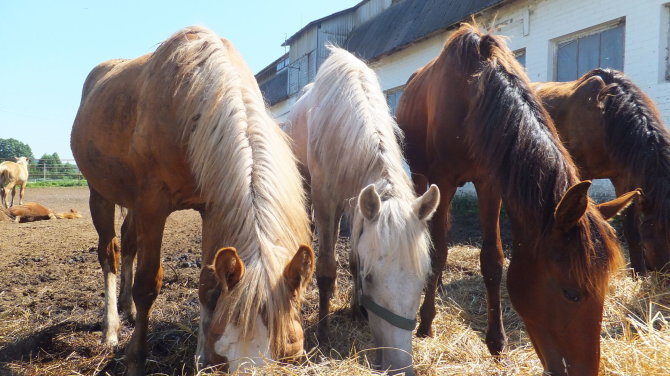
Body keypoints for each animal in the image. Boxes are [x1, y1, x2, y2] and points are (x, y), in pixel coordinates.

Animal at [72, 25, 314, 374]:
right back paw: (111, 329)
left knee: (128, 244)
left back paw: (126, 308)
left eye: (287, 349)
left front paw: (199, 356)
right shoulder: (153, 207)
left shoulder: (210, 205)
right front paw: (136, 359)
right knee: (110, 254)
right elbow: (148, 285)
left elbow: (207, 281)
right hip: (100, 193)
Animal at [284, 45, 438, 374]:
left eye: (423, 277)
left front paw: (357, 310)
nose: (400, 366)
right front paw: (324, 332)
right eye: (371, 279)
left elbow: (354, 256)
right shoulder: (326, 200)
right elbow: (327, 269)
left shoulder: (358, 203)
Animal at [396, 24, 644, 376]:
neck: (473, 96)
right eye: (571, 293)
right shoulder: (442, 182)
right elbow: (441, 249)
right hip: (421, 177)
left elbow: (493, 259)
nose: (584, 370)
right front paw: (426, 323)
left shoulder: (489, 182)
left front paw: (497, 343)